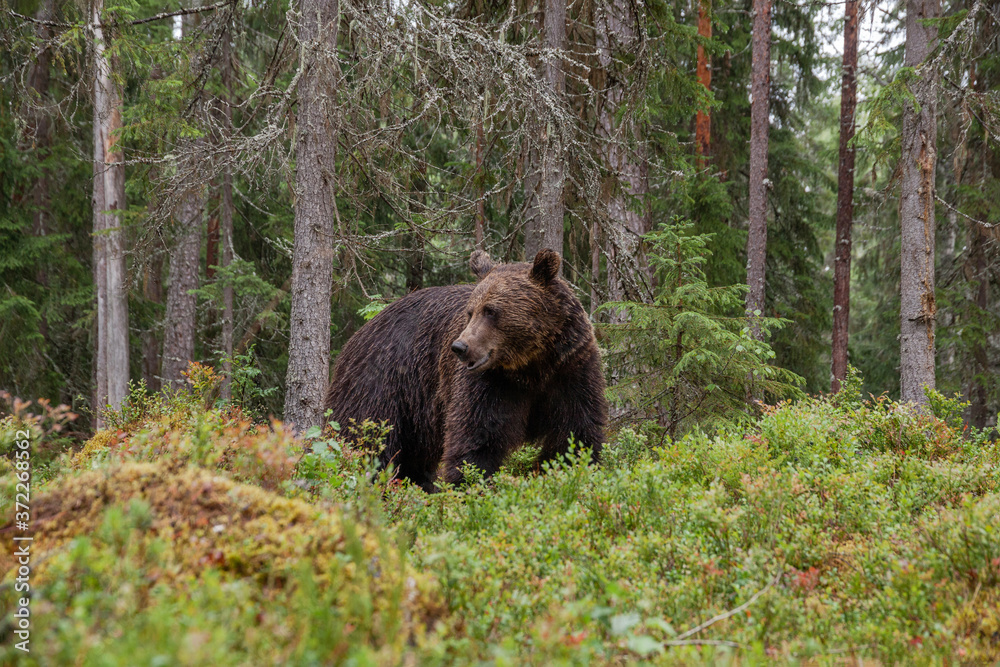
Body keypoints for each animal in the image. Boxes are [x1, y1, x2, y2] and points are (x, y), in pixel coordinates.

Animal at [328, 249, 604, 490]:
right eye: (470, 312)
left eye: (491, 311)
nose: (460, 347)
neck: (531, 366)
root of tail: (357, 335)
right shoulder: (488, 383)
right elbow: (477, 437)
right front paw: (470, 485)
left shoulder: (571, 369)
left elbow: (575, 432)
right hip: (382, 383)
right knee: (366, 438)